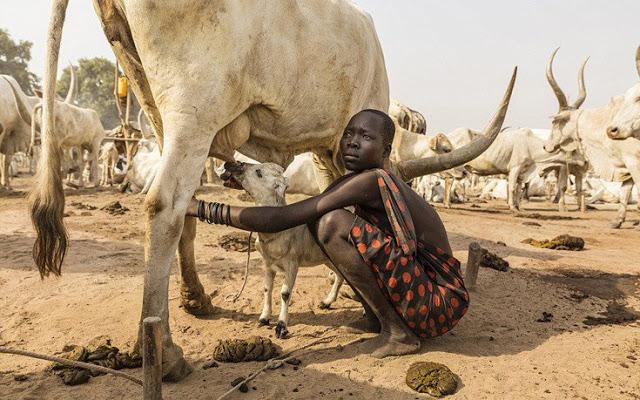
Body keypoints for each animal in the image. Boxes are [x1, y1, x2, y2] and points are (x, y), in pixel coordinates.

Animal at [36, 0, 516, 378]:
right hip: (196, 105)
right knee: (165, 204)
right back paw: (164, 354)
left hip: (153, 99)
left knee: (183, 207)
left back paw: (197, 301)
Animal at [544, 46, 640, 228]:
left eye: (554, 122)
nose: (546, 146)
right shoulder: (626, 165)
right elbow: (625, 192)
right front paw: (617, 221)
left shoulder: (633, 161)